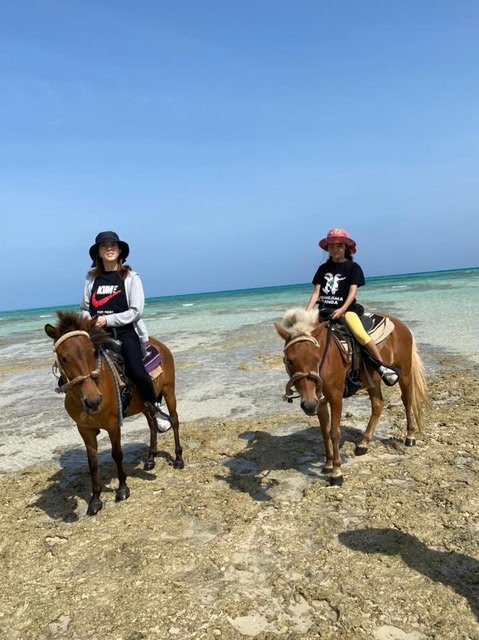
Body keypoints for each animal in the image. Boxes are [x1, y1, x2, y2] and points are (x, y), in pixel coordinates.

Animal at [45, 310, 184, 515]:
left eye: (93, 352)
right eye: (63, 358)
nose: (94, 400)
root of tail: (159, 345)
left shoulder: (112, 425)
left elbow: (117, 454)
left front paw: (123, 489)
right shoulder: (84, 429)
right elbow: (92, 462)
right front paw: (95, 500)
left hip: (168, 390)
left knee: (174, 421)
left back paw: (179, 459)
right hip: (144, 405)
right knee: (152, 425)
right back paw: (150, 459)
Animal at [275, 308, 429, 486]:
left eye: (316, 358)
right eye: (289, 361)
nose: (308, 405)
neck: (327, 357)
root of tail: (402, 325)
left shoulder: (335, 397)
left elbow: (334, 432)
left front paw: (336, 472)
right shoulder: (320, 401)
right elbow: (324, 432)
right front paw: (328, 464)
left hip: (404, 374)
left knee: (407, 400)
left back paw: (410, 437)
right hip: (372, 380)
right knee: (378, 405)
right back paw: (363, 443)